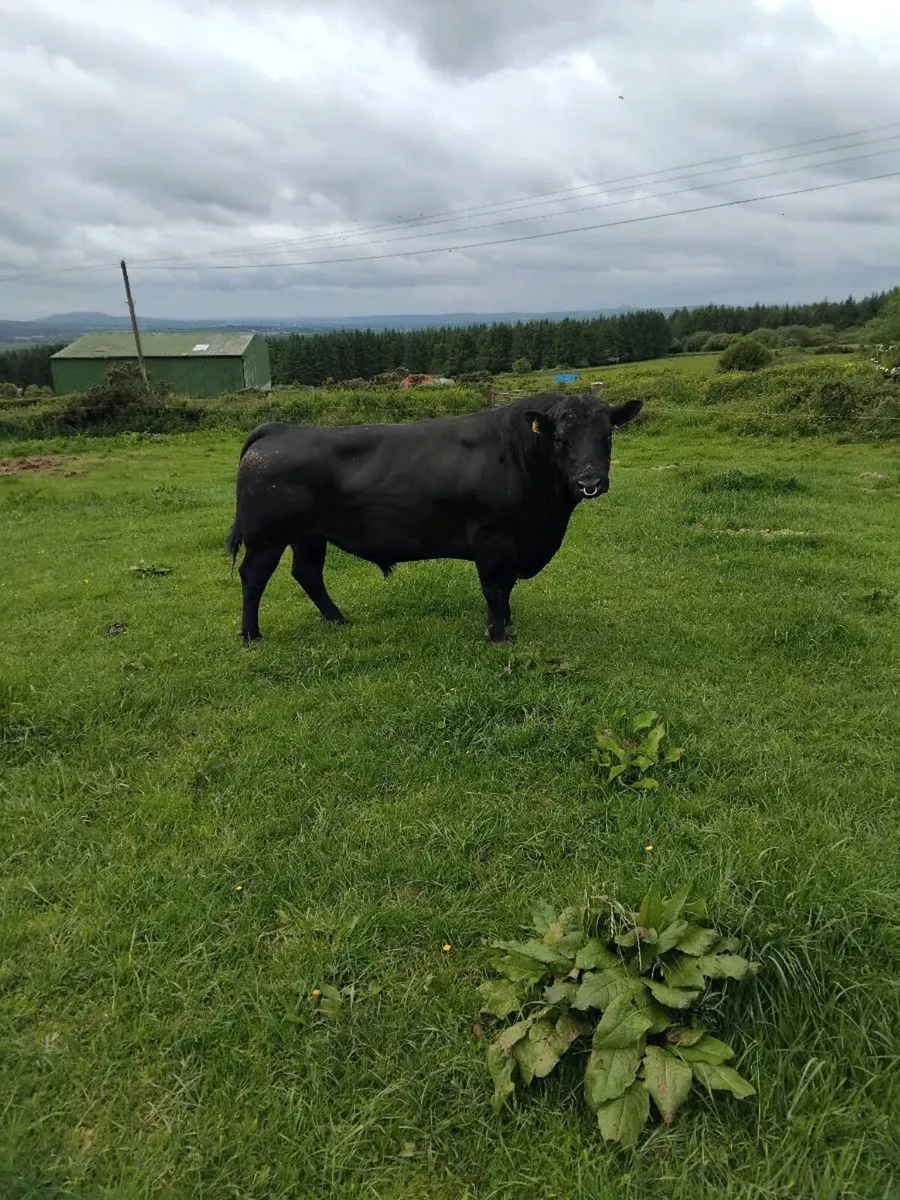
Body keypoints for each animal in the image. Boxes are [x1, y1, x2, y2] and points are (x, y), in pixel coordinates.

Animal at [226, 391, 643, 644]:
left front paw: (507, 623)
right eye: (560, 437)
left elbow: (506, 589)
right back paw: (251, 635)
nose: (590, 482)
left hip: (310, 534)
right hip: (267, 538)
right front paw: (498, 634)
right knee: (254, 577)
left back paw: (338, 620)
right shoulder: (492, 541)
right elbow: (494, 589)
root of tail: (279, 430)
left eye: (608, 435)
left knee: (308, 573)